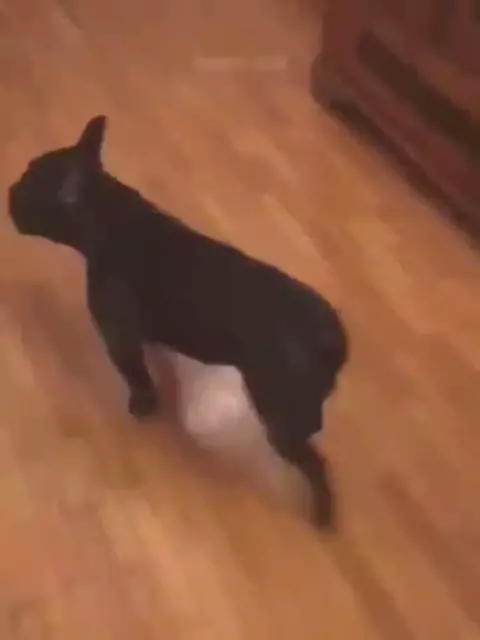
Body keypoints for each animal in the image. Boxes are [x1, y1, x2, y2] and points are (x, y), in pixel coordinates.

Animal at [8, 116, 349, 528]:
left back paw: (323, 513)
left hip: (279, 412)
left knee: (315, 464)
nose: (9, 191)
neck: (107, 214)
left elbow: (135, 373)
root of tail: (331, 338)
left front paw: (142, 404)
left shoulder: (118, 334)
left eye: (28, 189)